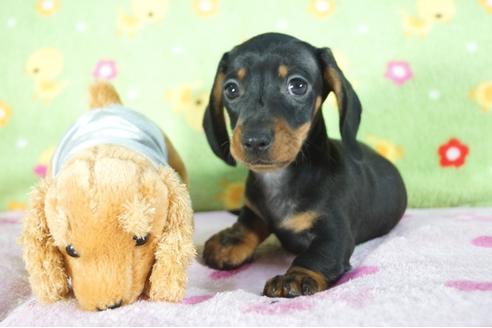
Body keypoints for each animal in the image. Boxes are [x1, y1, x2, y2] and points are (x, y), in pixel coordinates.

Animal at [202, 32, 406, 298]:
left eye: (297, 85)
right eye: (231, 89)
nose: (254, 140)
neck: (279, 178)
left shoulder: (335, 232)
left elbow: (317, 256)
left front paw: (296, 277)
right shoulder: (254, 210)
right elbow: (248, 223)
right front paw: (230, 240)